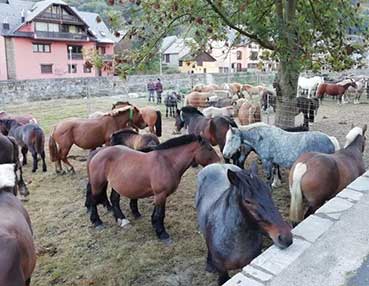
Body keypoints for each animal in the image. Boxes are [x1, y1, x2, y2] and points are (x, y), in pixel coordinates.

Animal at [85, 135, 218, 244]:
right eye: (209, 149)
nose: (218, 163)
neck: (167, 162)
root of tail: (98, 152)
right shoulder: (161, 194)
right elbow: (160, 214)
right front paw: (162, 234)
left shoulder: (160, 195)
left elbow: (156, 213)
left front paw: (155, 227)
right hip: (98, 184)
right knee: (93, 200)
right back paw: (97, 222)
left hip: (117, 185)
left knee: (114, 200)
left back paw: (122, 220)